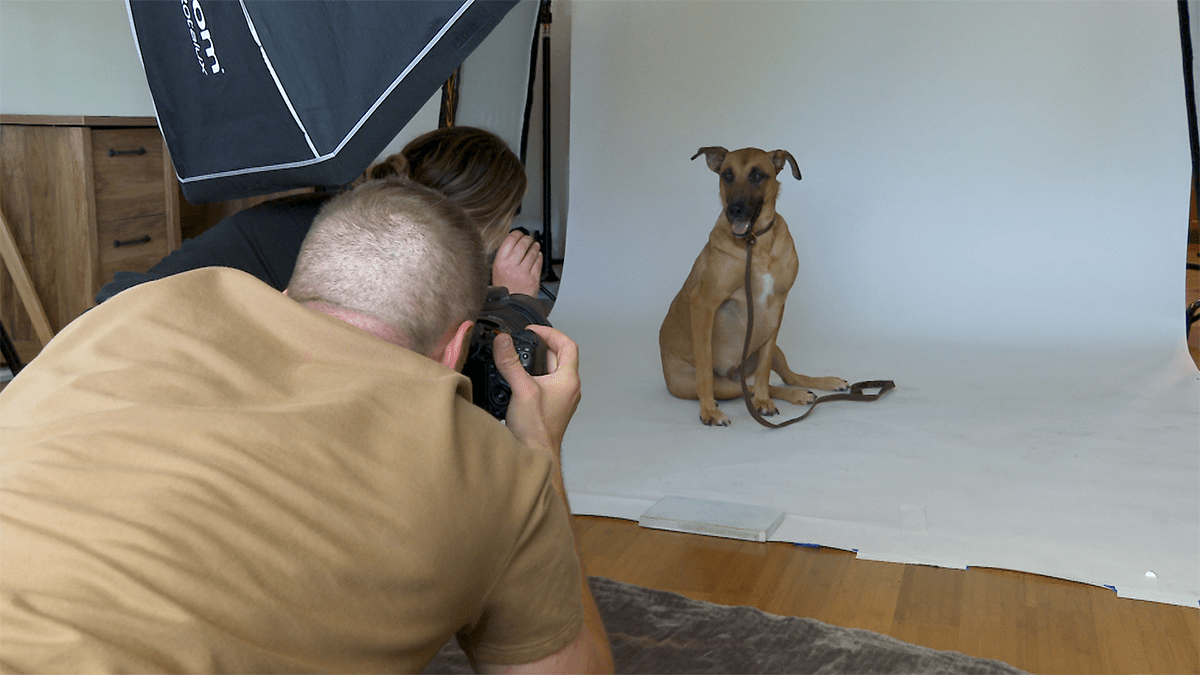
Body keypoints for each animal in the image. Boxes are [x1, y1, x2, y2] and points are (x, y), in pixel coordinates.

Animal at [662, 144, 849, 422]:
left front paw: (763, 401)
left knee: (788, 378)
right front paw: (708, 411)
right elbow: (705, 365)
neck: (754, 242)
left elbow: (764, 369)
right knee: (746, 387)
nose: (734, 210)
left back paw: (819, 385)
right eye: (727, 175)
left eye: (758, 175)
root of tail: (733, 373)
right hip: (719, 385)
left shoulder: (776, 309)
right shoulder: (704, 303)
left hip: (774, 350)